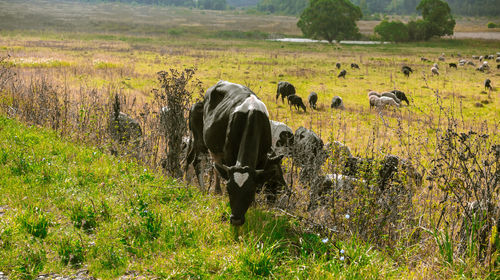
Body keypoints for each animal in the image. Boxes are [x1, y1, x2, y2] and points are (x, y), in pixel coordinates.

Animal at [186, 80, 286, 225]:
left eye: (250, 191)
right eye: (229, 190)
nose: (236, 220)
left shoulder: (261, 158)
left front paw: (253, 205)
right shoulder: (229, 154)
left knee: (212, 165)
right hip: (201, 140)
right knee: (197, 161)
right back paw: (205, 189)